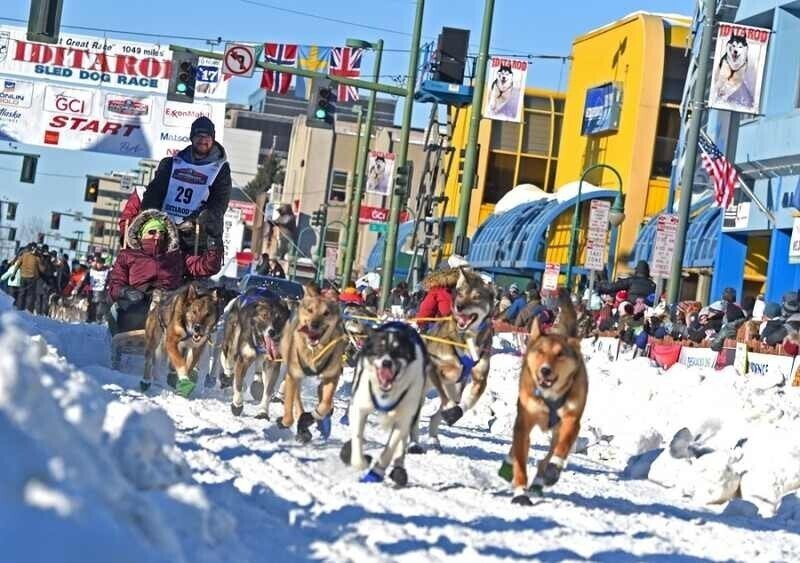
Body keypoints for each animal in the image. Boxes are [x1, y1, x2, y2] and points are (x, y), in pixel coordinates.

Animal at [276, 284, 346, 442]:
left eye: (326, 313)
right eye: (310, 310)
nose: (314, 324)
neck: (314, 351)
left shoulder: (332, 376)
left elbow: (325, 405)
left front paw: (310, 418)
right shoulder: (293, 375)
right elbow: (289, 413)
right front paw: (288, 421)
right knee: (296, 396)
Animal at [500, 294, 588, 504]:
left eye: (560, 354)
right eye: (540, 351)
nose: (545, 370)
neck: (550, 396)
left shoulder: (571, 420)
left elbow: (561, 448)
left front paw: (553, 470)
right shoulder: (524, 421)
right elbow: (520, 459)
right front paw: (520, 492)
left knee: (548, 456)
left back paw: (541, 479)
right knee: (518, 449)